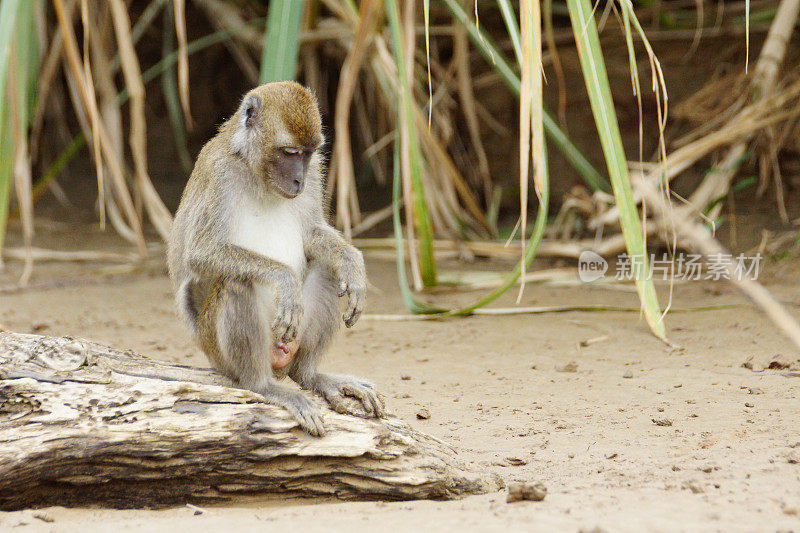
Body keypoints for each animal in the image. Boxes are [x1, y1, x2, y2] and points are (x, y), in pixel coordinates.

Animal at [166, 81, 384, 434]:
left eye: (307, 154)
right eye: (288, 153)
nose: (298, 179)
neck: (253, 169)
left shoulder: (316, 173)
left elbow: (313, 236)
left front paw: (352, 264)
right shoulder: (219, 172)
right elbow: (201, 252)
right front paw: (284, 280)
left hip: (291, 343)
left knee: (326, 269)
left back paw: (309, 374)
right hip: (217, 350)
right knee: (236, 282)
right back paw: (262, 384)